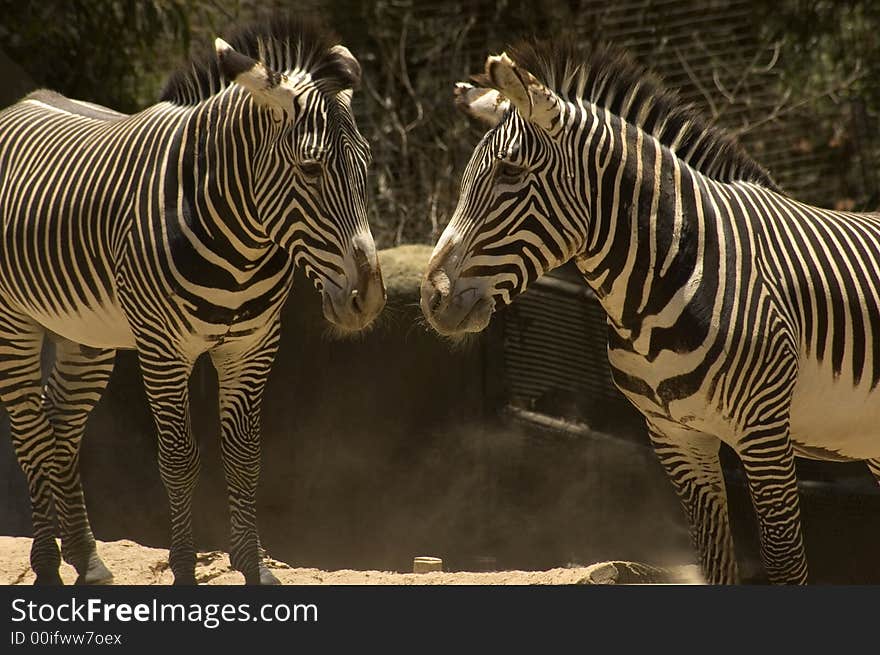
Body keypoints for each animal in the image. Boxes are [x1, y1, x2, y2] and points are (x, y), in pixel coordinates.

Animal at [0, 19, 384, 584]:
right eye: (311, 169)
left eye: (365, 165)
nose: (368, 298)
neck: (241, 243)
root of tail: (24, 101)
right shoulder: (163, 349)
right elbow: (179, 459)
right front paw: (184, 570)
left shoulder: (252, 346)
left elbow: (245, 457)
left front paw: (254, 567)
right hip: (15, 321)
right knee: (29, 430)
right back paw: (47, 566)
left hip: (85, 331)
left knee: (60, 426)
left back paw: (87, 559)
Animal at [418, 41, 880, 584]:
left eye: (510, 173)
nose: (432, 298)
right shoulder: (676, 438)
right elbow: (716, 566)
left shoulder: (764, 433)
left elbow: (786, 567)